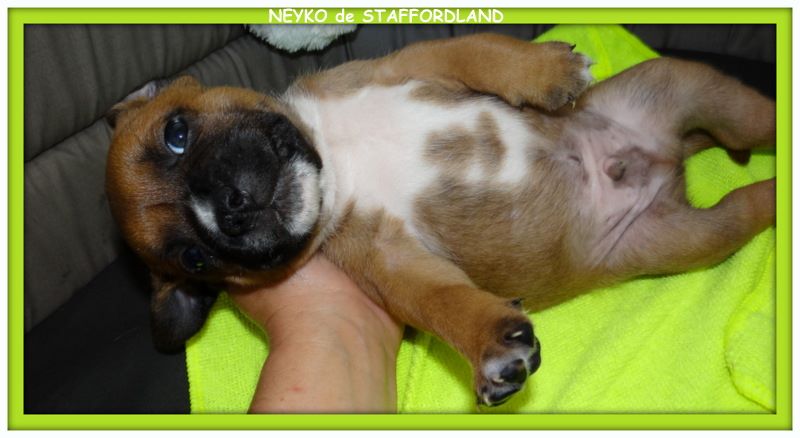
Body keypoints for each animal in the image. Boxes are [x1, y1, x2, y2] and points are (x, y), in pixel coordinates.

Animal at [105, 33, 775, 407]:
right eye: (195, 257)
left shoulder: (414, 64)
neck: (336, 157)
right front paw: (491, 345)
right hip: (691, 236)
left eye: (177, 132)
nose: (229, 208)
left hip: (696, 90)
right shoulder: (391, 262)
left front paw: (547, 72)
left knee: (758, 122)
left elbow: (483, 52)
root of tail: (668, 159)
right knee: (747, 202)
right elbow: (441, 301)